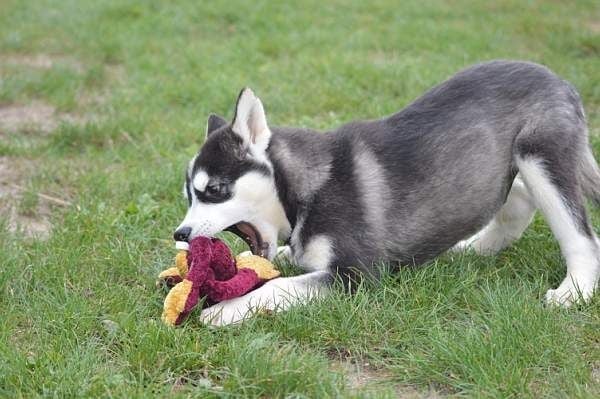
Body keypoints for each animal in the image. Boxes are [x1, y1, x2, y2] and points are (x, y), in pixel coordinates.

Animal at [173, 61, 600, 326]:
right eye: (188, 197)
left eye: (215, 190)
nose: (180, 234)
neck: (307, 188)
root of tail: (558, 79)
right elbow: (282, 260)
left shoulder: (358, 274)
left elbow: (278, 286)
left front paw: (227, 309)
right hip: (491, 172)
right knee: (519, 200)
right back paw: (474, 248)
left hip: (541, 155)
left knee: (581, 236)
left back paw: (574, 292)